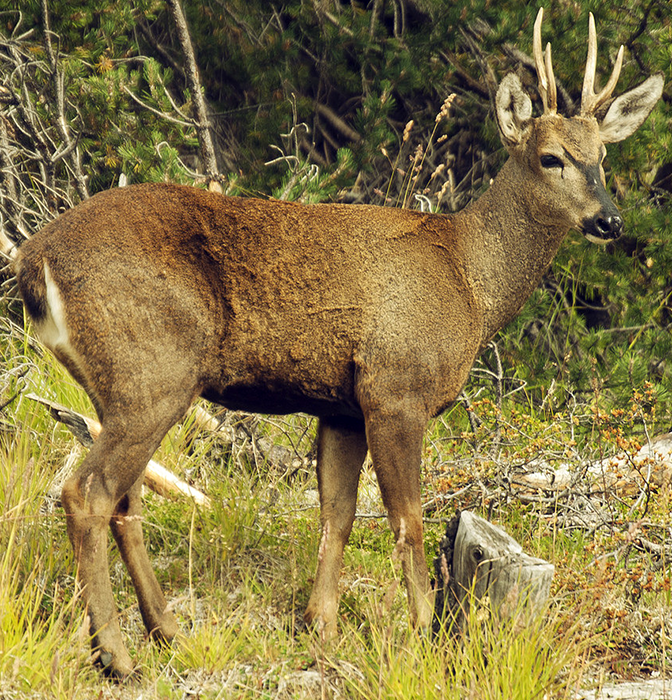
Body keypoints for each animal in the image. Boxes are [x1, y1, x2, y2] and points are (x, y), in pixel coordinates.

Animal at [13, 8, 664, 680]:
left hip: (120, 384)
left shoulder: (341, 405)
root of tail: (34, 259)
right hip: (153, 372)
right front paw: (425, 636)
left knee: (123, 499)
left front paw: (319, 632)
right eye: (550, 157)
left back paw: (165, 632)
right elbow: (407, 521)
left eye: (603, 155)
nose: (610, 220)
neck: (469, 280)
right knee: (88, 493)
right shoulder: (395, 387)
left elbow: (337, 515)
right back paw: (117, 656)